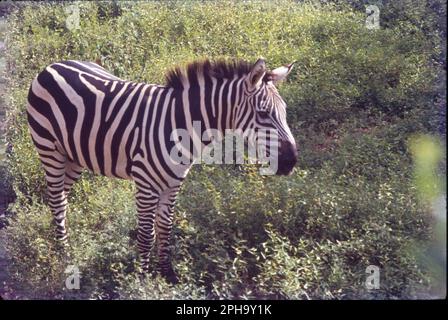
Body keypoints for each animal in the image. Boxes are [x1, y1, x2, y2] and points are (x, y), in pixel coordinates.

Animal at [25, 57, 298, 282]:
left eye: (284, 111)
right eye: (263, 114)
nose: (291, 161)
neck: (181, 126)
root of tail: (53, 65)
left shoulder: (173, 183)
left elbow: (165, 228)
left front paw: (167, 274)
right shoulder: (146, 184)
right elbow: (147, 234)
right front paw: (143, 278)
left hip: (74, 157)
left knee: (62, 199)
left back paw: (61, 241)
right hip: (50, 149)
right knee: (57, 200)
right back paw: (64, 252)